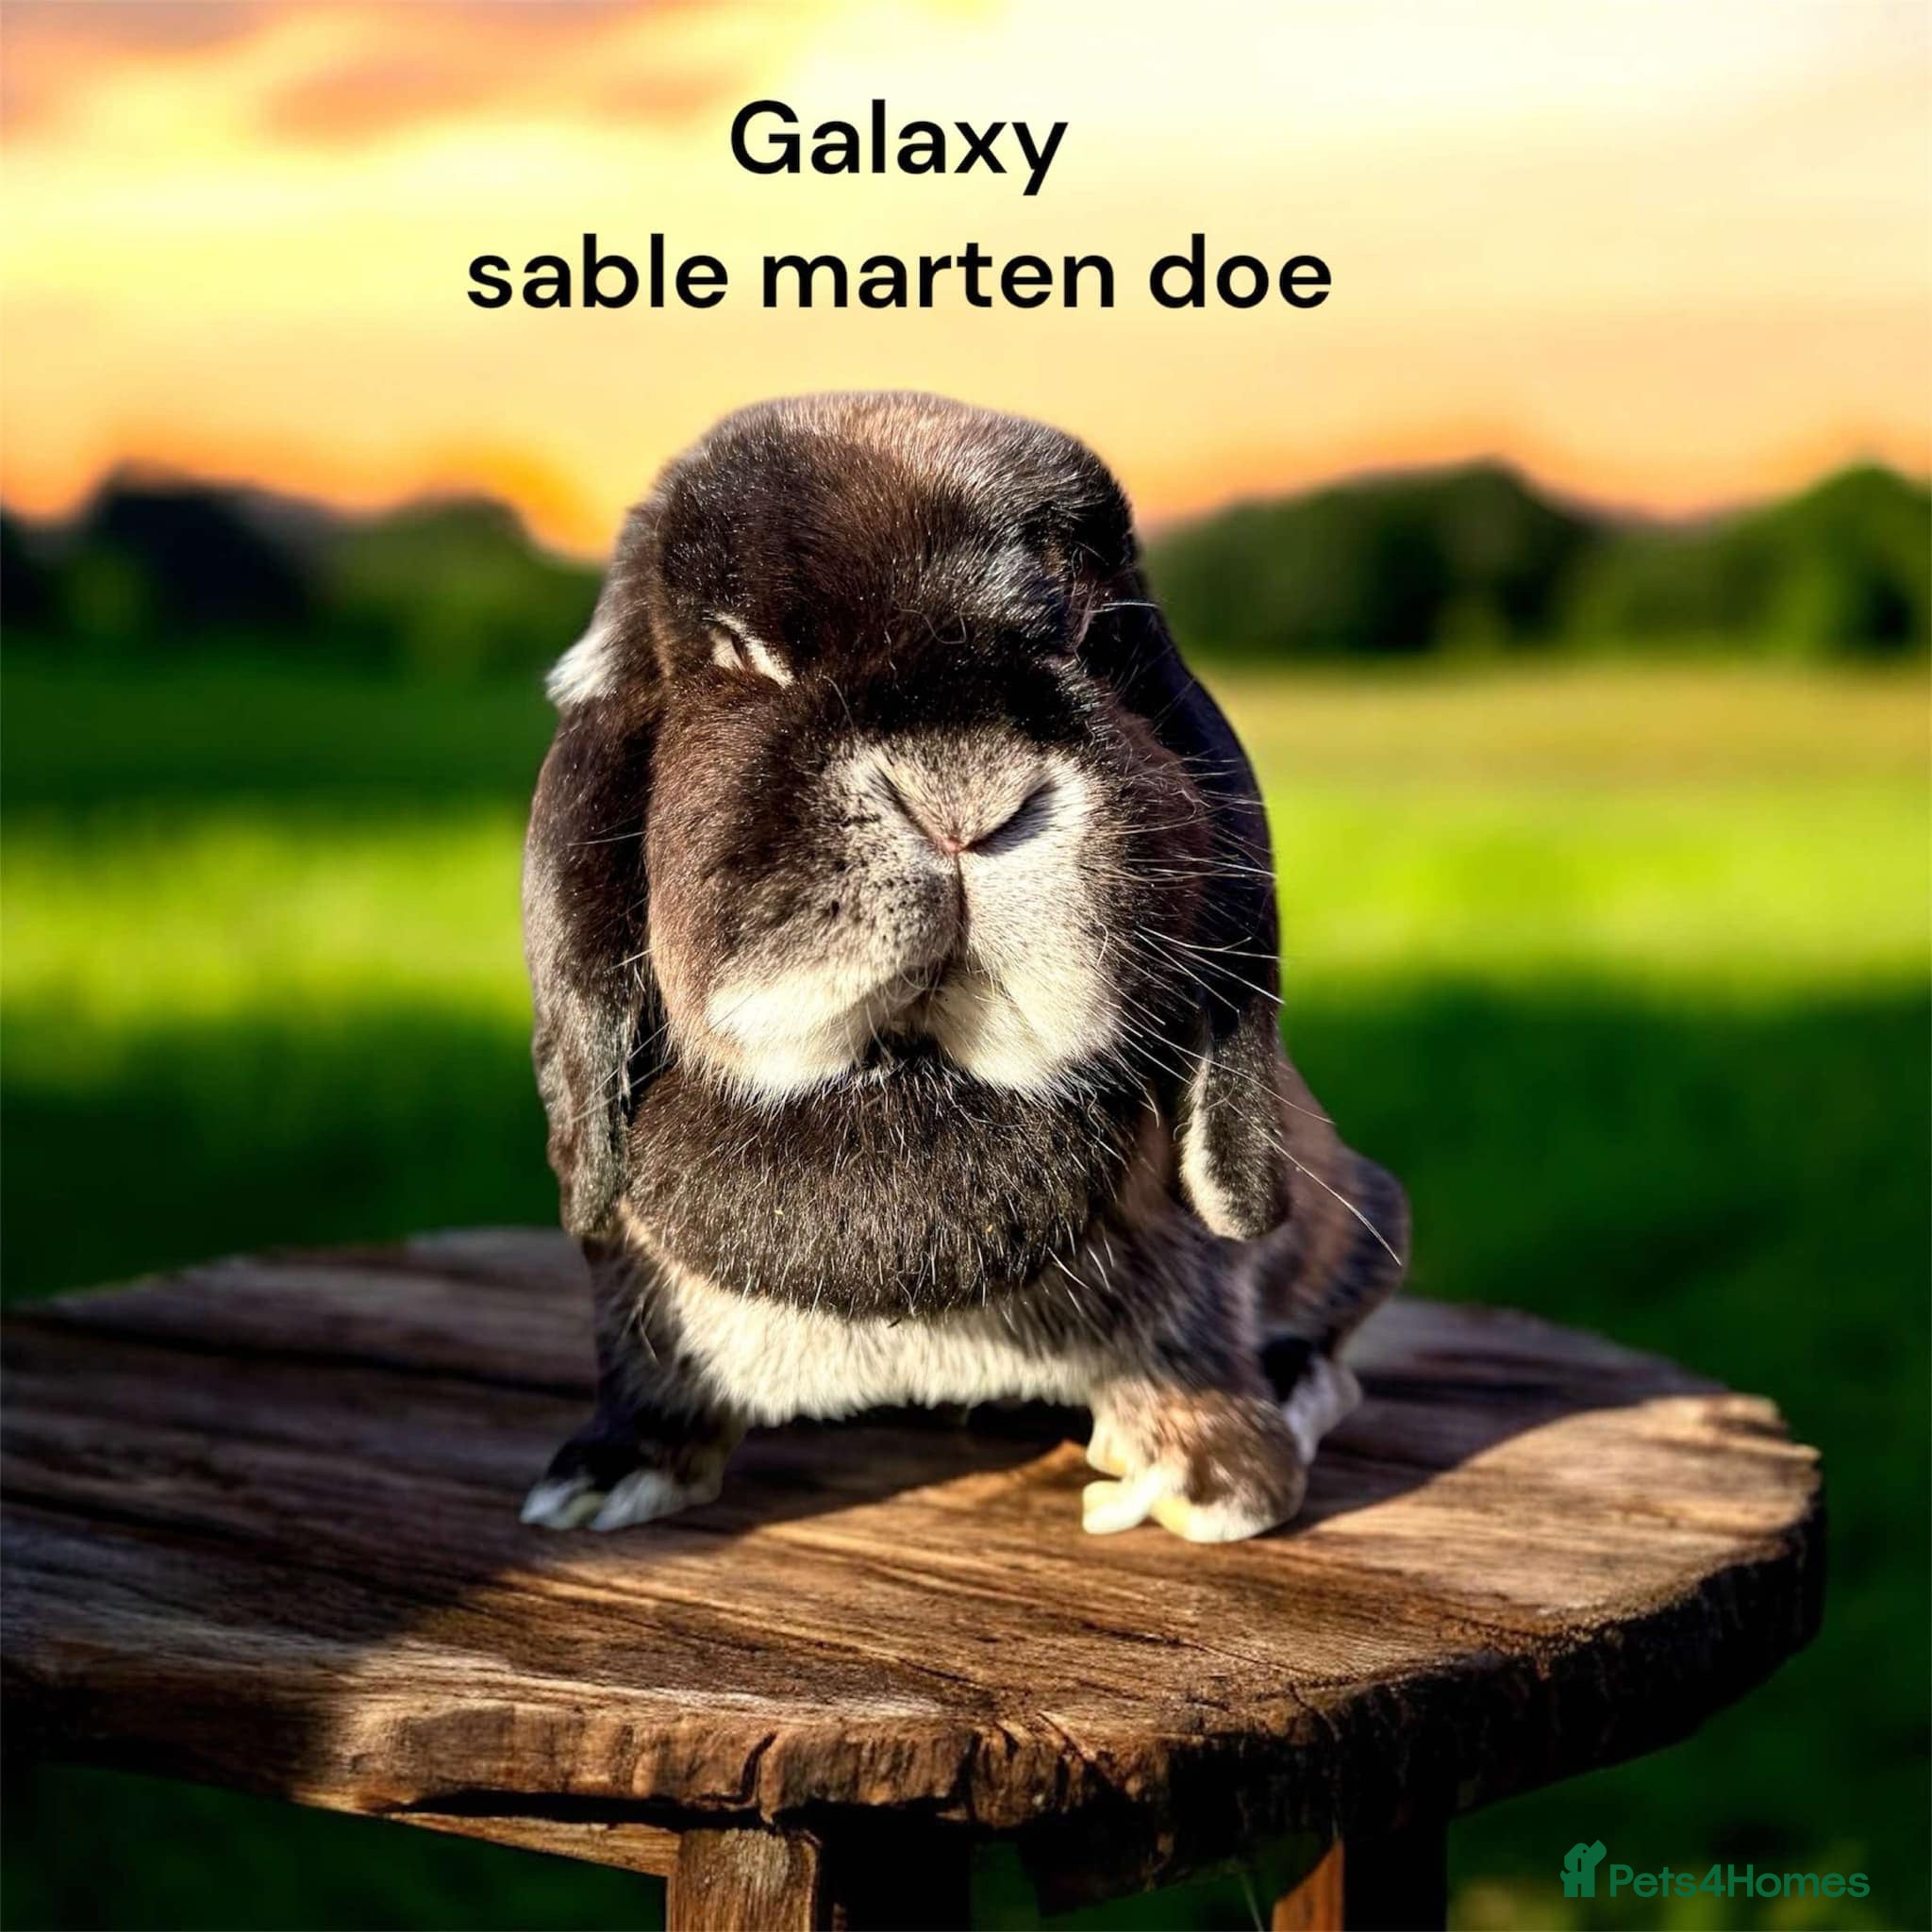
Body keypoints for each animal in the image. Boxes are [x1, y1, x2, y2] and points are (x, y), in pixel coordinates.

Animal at [518, 392, 1408, 1543]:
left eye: (1093, 639)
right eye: (740, 655)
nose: (963, 794)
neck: (907, 1075)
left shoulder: (1199, 1284)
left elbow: (1197, 1335)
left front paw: (1201, 1482)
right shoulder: (628, 1275)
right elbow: (639, 1353)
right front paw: (607, 1473)